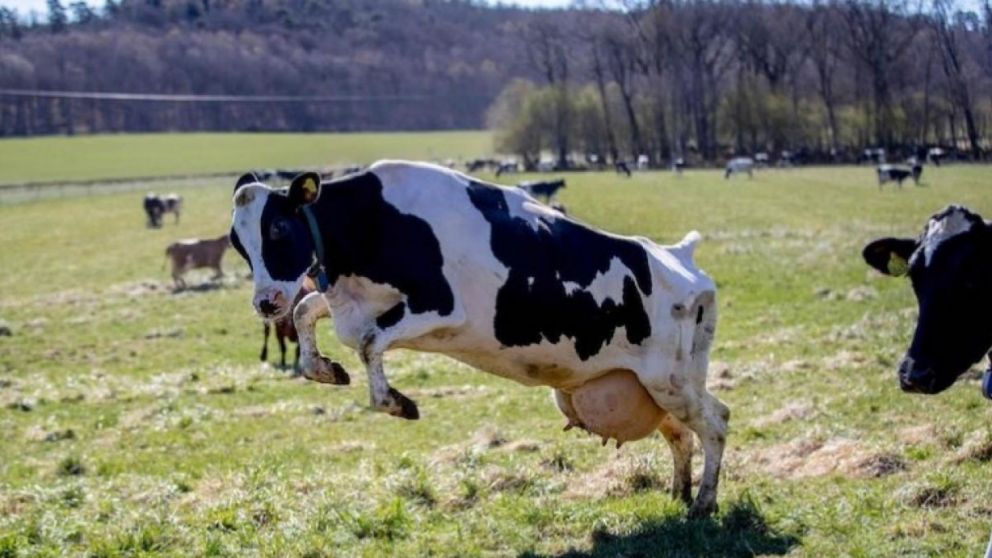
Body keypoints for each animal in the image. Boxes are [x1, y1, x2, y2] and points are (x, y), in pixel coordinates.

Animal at [228, 162, 729, 517]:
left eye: (278, 228)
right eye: (237, 242)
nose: (265, 302)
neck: (375, 222)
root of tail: (679, 257)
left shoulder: (439, 307)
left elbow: (369, 342)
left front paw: (397, 403)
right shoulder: (351, 303)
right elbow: (307, 312)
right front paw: (325, 369)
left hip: (671, 379)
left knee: (717, 422)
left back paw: (704, 503)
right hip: (652, 385)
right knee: (681, 434)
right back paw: (679, 493)